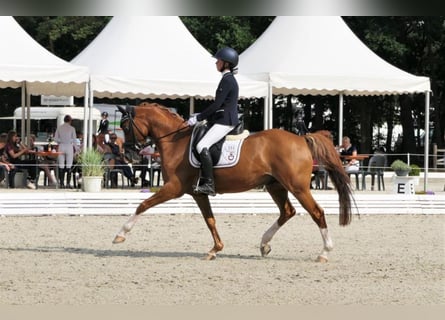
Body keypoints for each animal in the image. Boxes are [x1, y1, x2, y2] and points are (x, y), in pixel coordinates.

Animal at [112, 102, 352, 262]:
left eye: (126, 127)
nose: (131, 156)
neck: (176, 141)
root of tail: (301, 139)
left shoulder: (173, 188)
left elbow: (143, 205)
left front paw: (120, 235)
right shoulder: (198, 193)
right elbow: (210, 220)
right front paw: (215, 249)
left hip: (298, 187)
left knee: (316, 212)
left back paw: (324, 253)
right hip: (275, 185)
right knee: (287, 212)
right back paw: (264, 244)